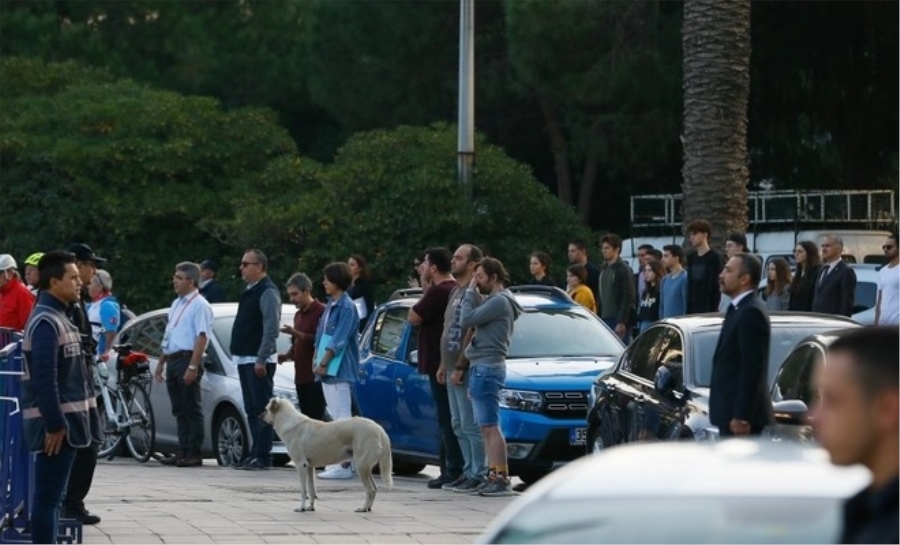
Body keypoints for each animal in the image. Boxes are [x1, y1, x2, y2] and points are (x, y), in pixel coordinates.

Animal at [260, 398, 394, 512]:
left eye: (266, 410)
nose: (258, 416)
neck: (290, 423)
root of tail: (379, 428)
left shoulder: (300, 466)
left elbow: (303, 491)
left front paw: (301, 508)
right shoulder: (309, 467)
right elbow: (312, 490)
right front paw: (310, 507)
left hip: (361, 466)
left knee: (370, 490)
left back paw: (363, 508)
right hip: (365, 468)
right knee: (375, 488)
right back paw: (368, 508)